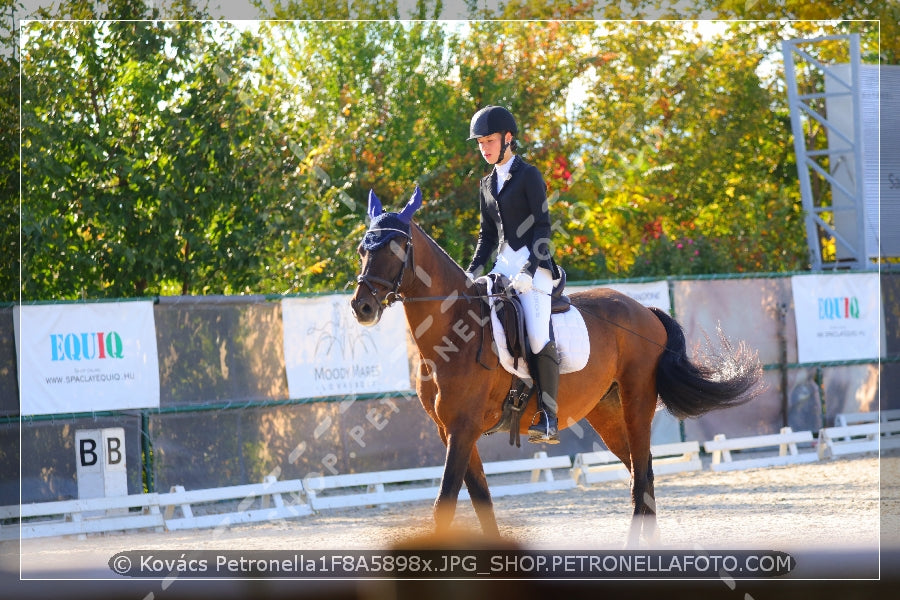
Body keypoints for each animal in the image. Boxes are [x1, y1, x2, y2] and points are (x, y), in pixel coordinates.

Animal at [348, 186, 764, 544]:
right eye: (362, 249)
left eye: (397, 247)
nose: (361, 307)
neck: (453, 329)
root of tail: (645, 310)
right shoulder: (450, 431)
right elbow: (483, 505)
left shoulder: (463, 429)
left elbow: (444, 508)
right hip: (608, 413)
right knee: (641, 473)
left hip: (637, 403)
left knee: (641, 478)